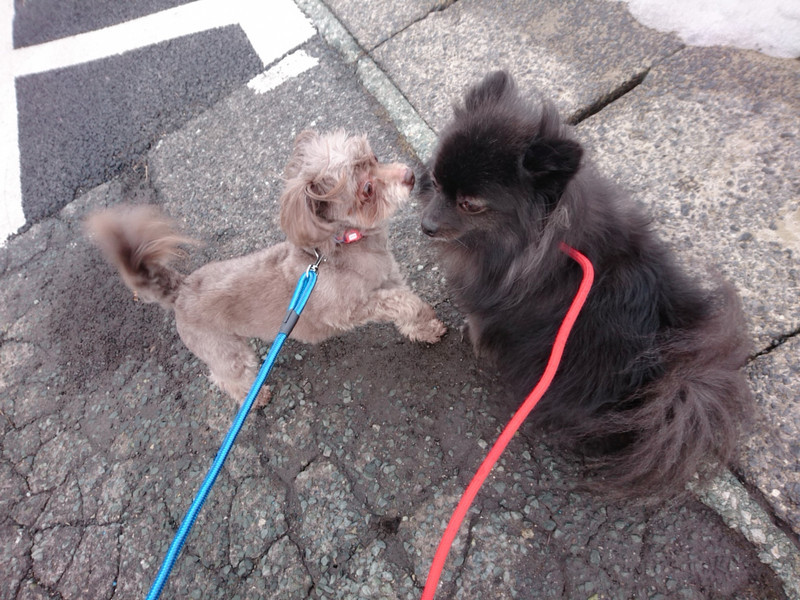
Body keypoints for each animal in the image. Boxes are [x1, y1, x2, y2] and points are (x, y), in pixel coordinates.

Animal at [87, 130, 446, 403]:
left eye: (374, 158)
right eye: (367, 189)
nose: (411, 176)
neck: (345, 245)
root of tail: (181, 289)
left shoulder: (390, 277)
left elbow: (408, 305)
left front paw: (425, 328)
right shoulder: (349, 309)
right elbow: (403, 304)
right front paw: (424, 319)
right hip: (223, 350)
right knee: (227, 376)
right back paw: (255, 397)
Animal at [419, 71, 753, 498]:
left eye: (470, 204)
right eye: (435, 181)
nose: (426, 225)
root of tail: (658, 379)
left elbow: (480, 321)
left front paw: (475, 339)